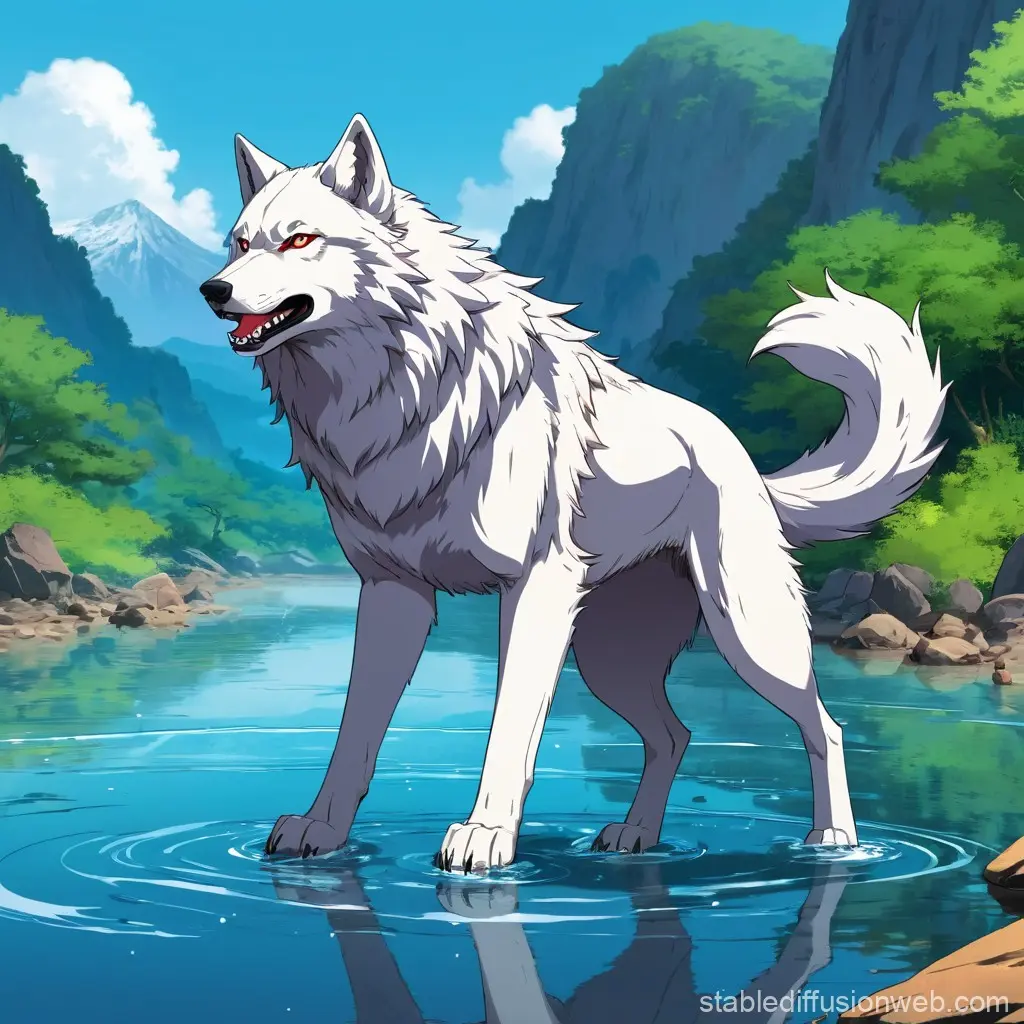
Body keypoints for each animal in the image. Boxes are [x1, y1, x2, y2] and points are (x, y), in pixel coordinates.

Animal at [200, 113, 947, 873]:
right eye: (240, 243)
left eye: (299, 239)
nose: (212, 290)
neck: (410, 395)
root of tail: (746, 462)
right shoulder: (391, 594)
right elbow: (356, 731)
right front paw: (322, 831)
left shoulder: (532, 589)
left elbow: (509, 729)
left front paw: (485, 838)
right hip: (610, 661)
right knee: (674, 735)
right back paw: (636, 837)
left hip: (750, 638)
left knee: (825, 726)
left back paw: (835, 842)